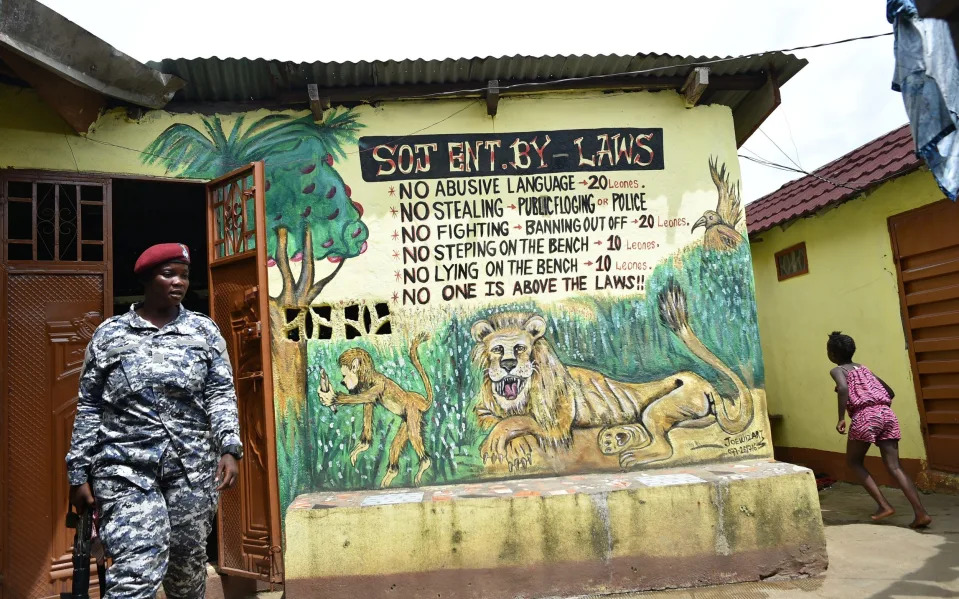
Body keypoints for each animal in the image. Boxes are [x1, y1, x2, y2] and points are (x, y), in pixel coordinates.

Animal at [316, 332, 434, 488]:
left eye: (344, 375)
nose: (343, 382)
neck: (369, 377)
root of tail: (418, 400)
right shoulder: (367, 391)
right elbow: (367, 411)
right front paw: (362, 447)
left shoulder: (378, 386)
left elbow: (363, 398)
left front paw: (331, 397)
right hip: (408, 419)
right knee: (395, 444)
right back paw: (391, 474)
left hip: (412, 413)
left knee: (413, 435)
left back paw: (424, 463)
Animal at [472, 282, 756, 474]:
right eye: (498, 349)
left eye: (520, 348)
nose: (508, 364)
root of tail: (704, 383)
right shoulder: (484, 411)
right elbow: (497, 419)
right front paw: (514, 446)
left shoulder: (557, 424)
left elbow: (516, 421)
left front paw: (497, 442)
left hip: (659, 407)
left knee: (665, 447)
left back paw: (632, 457)